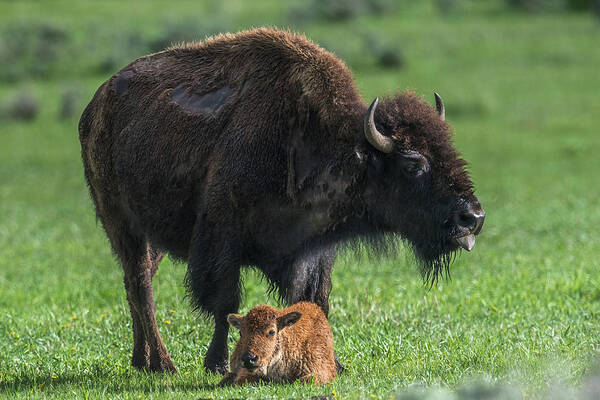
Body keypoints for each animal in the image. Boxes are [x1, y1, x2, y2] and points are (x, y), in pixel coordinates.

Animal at [77, 28, 486, 376]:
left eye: (450, 148)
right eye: (413, 164)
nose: (473, 217)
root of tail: (96, 105)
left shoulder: (313, 251)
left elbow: (312, 304)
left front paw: (332, 363)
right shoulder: (222, 238)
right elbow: (225, 304)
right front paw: (218, 365)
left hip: (152, 236)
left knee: (137, 283)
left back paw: (142, 360)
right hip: (120, 221)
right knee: (141, 286)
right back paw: (163, 364)